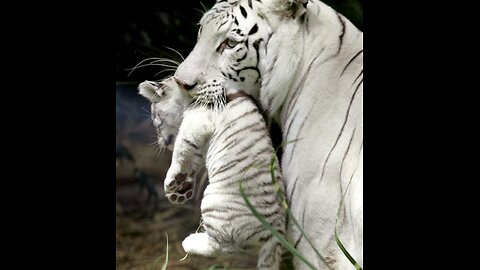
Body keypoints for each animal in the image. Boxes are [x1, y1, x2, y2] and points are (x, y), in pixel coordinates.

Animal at [140, 77, 288, 268]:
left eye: (155, 118)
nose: (162, 143)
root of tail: (275, 235)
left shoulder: (195, 124)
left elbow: (181, 151)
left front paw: (171, 180)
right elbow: (191, 161)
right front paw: (181, 189)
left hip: (213, 202)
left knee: (221, 247)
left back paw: (189, 241)